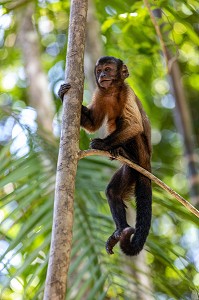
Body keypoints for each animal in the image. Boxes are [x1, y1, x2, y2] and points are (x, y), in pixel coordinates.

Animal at [58, 55, 152, 255]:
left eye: (108, 69)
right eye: (99, 70)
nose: (102, 76)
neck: (112, 91)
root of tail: (146, 165)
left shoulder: (127, 92)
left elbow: (134, 125)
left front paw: (101, 143)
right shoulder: (100, 94)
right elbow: (93, 123)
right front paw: (62, 93)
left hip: (141, 157)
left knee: (129, 125)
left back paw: (121, 151)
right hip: (130, 172)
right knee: (112, 192)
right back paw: (120, 230)